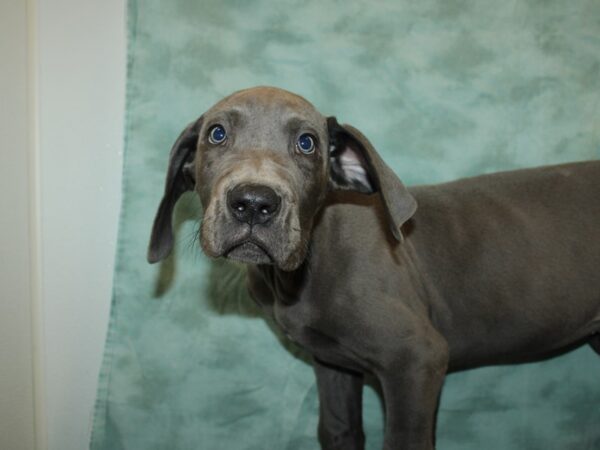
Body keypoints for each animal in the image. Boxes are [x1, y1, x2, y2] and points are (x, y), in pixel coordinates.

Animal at [149, 87, 600, 450]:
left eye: (307, 143)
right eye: (217, 134)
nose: (254, 203)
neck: (303, 268)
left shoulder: (416, 360)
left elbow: (404, 441)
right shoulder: (332, 364)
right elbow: (339, 430)